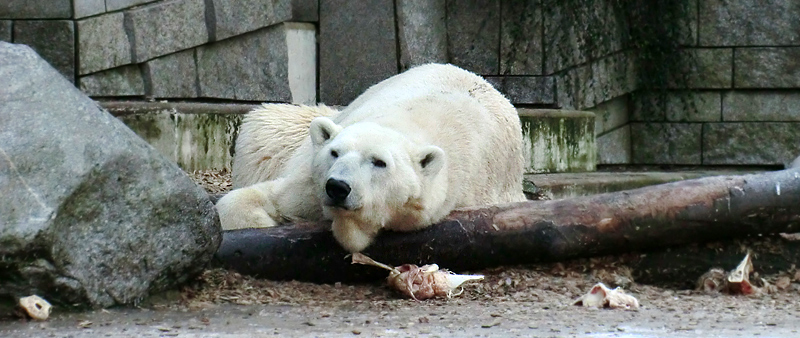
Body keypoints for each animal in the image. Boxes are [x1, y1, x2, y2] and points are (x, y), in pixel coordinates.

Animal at [216, 64, 528, 254]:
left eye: (379, 162)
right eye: (335, 152)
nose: (337, 187)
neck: (407, 122)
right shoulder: (311, 184)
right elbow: (271, 197)